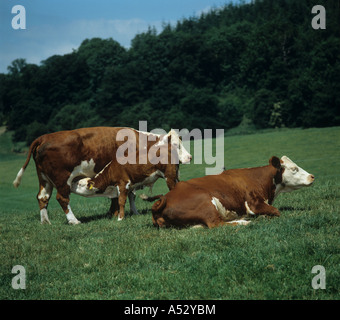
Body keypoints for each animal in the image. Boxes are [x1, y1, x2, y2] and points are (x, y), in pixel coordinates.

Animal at [12, 126, 191, 224]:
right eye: (176, 146)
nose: (189, 157)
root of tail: (43, 137)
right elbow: (125, 195)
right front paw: (118, 214)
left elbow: (126, 195)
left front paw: (126, 212)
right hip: (62, 179)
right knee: (61, 198)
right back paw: (74, 221)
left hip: (44, 178)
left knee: (42, 197)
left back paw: (46, 222)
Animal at [150, 156, 314, 229]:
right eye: (294, 169)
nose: (312, 176)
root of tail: (165, 198)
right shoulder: (254, 203)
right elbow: (276, 211)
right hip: (206, 203)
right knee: (216, 224)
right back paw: (244, 222)